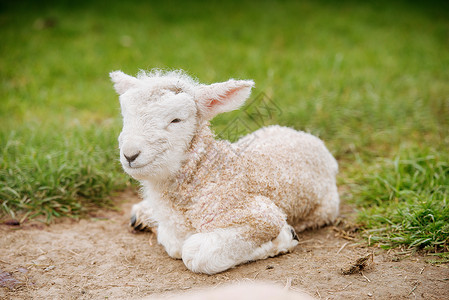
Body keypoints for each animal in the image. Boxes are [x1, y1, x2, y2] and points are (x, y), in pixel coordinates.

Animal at [109, 69, 340, 274]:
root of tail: (309, 137)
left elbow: (193, 253)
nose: (130, 154)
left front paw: (284, 238)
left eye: (176, 120)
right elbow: (173, 244)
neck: (207, 173)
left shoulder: (260, 215)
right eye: (125, 117)